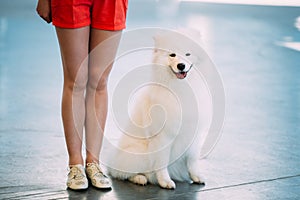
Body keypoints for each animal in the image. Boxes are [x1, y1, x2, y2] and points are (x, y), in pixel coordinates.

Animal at [108, 34, 206, 189]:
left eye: (187, 54)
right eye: (172, 55)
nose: (181, 66)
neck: (180, 88)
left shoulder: (194, 135)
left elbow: (192, 160)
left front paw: (196, 176)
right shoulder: (163, 137)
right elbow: (161, 162)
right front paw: (165, 181)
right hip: (138, 154)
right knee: (122, 173)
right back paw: (140, 178)